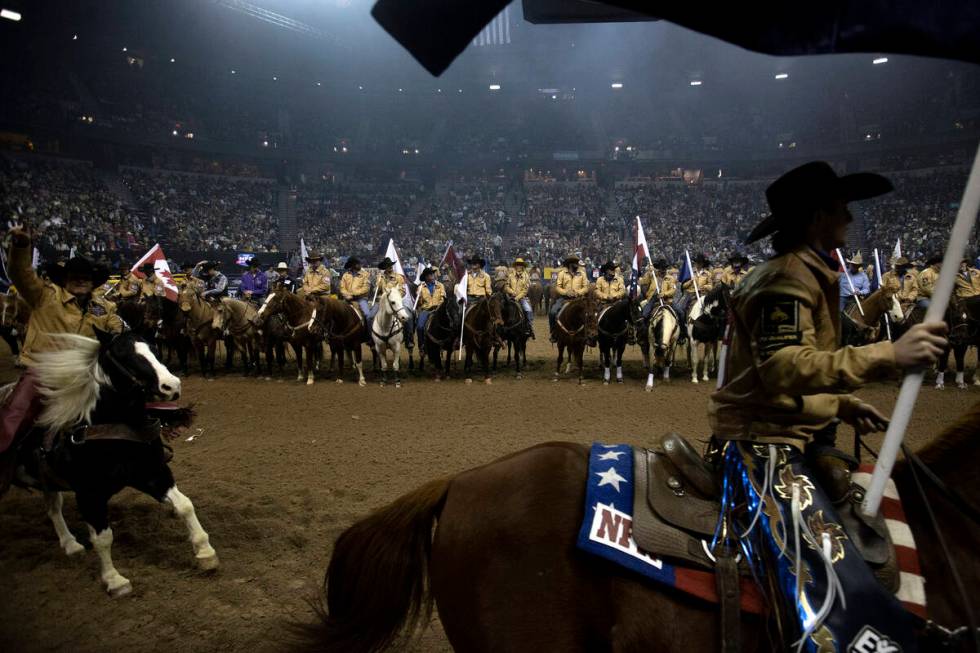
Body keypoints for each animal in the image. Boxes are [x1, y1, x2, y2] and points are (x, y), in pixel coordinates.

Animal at [8, 332, 216, 596]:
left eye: (154, 347)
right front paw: (114, 580)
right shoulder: (89, 494)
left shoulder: (152, 474)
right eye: (122, 355)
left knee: (53, 508)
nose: (172, 386)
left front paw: (205, 552)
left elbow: (184, 505)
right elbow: (103, 537)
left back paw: (71, 545)